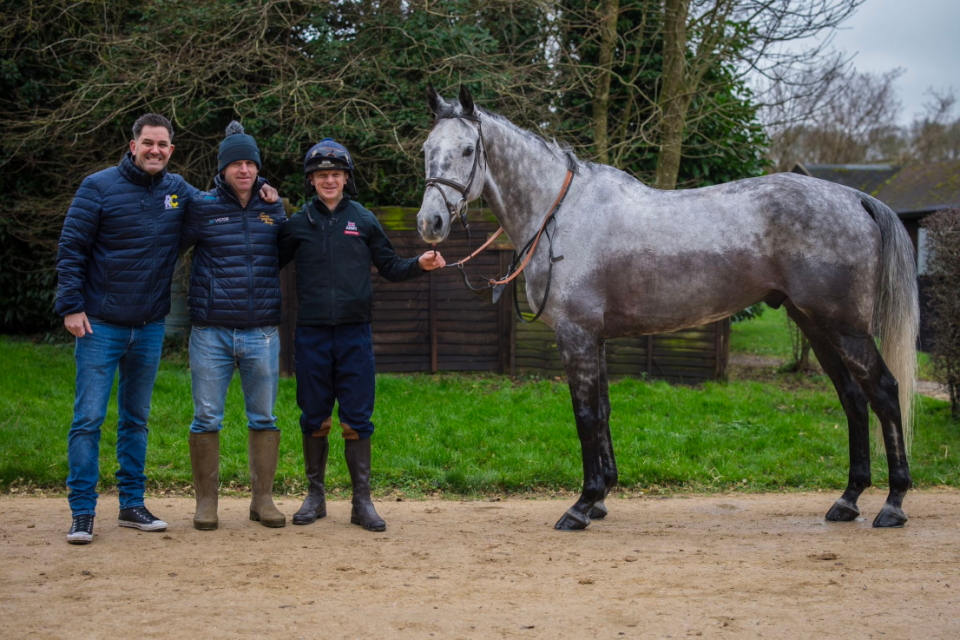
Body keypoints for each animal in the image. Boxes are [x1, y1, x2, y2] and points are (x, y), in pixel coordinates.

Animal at [416, 85, 920, 528]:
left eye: (467, 150)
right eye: (426, 148)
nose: (430, 222)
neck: (561, 215)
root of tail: (854, 197)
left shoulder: (576, 335)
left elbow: (585, 416)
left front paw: (582, 504)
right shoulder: (595, 338)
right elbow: (603, 412)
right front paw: (602, 496)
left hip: (845, 328)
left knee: (884, 392)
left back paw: (893, 503)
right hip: (815, 325)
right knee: (853, 399)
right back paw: (848, 499)